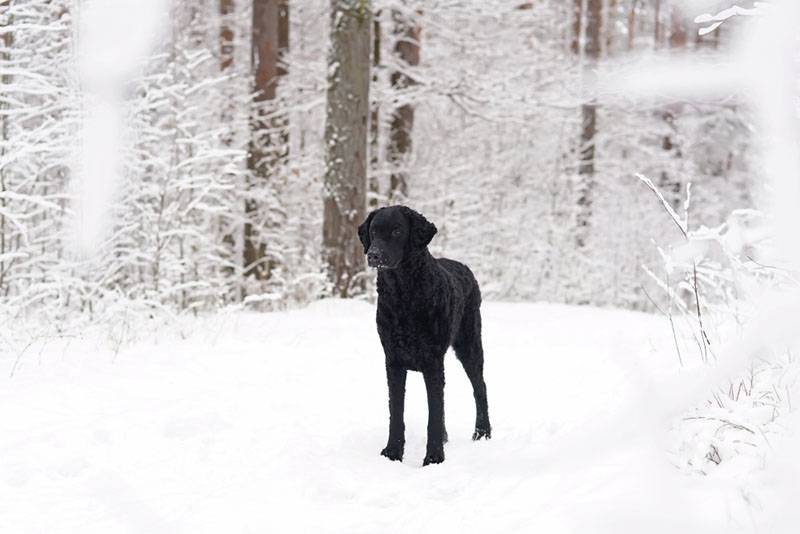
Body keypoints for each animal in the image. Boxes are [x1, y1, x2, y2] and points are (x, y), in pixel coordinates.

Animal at [360, 207, 490, 466]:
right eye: (373, 231)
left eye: (397, 231)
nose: (373, 255)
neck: (403, 296)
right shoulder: (393, 361)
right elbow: (396, 412)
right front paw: (392, 453)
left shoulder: (432, 362)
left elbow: (434, 415)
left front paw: (434, 458)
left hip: (469, 345)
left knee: (480, 388)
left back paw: (482, 433)